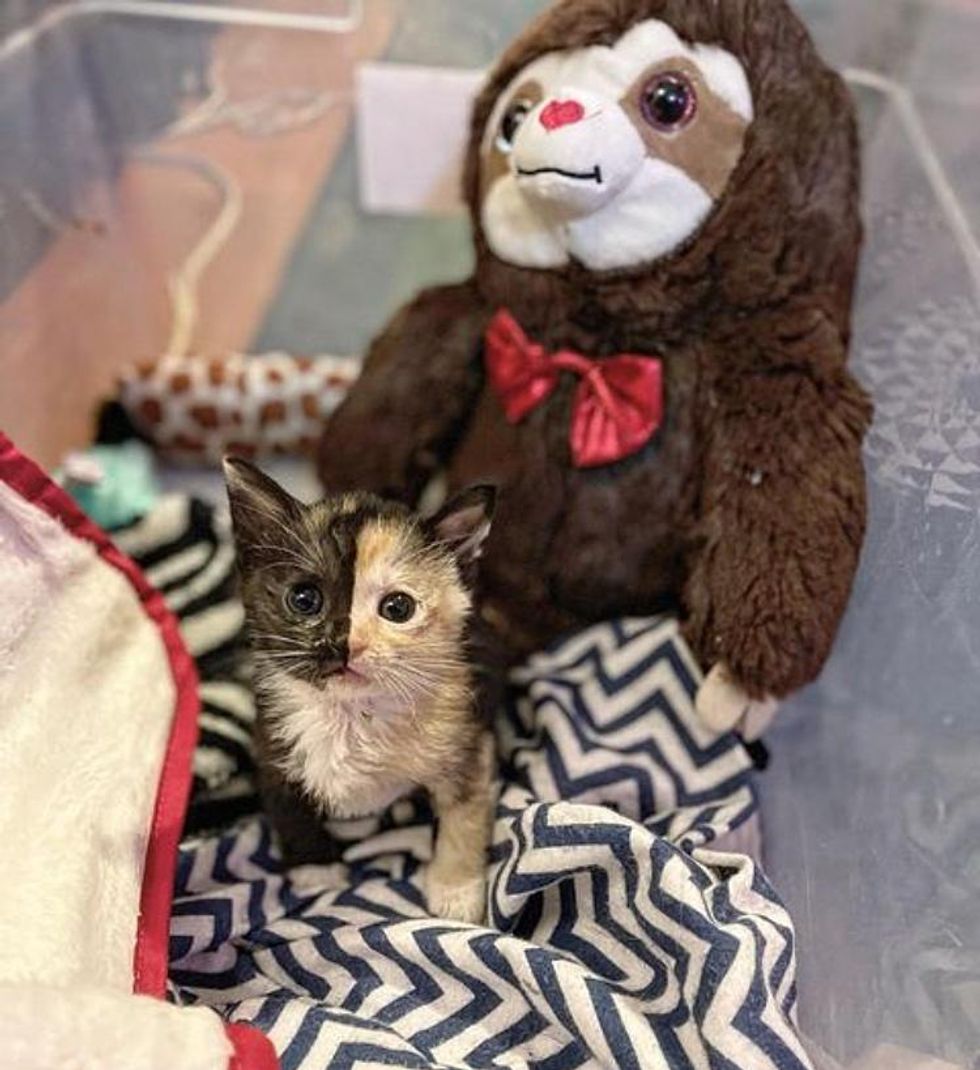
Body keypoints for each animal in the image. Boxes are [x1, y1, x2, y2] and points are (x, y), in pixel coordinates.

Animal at [222, 455, 498, 924]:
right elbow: (286, 806)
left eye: (398, 608)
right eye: (304, 599)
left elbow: (464, 814)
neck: (353, 713)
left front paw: (456, 890)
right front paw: (315, 868)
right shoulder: (270, 742)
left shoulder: (468, 737)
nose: (343, 643)